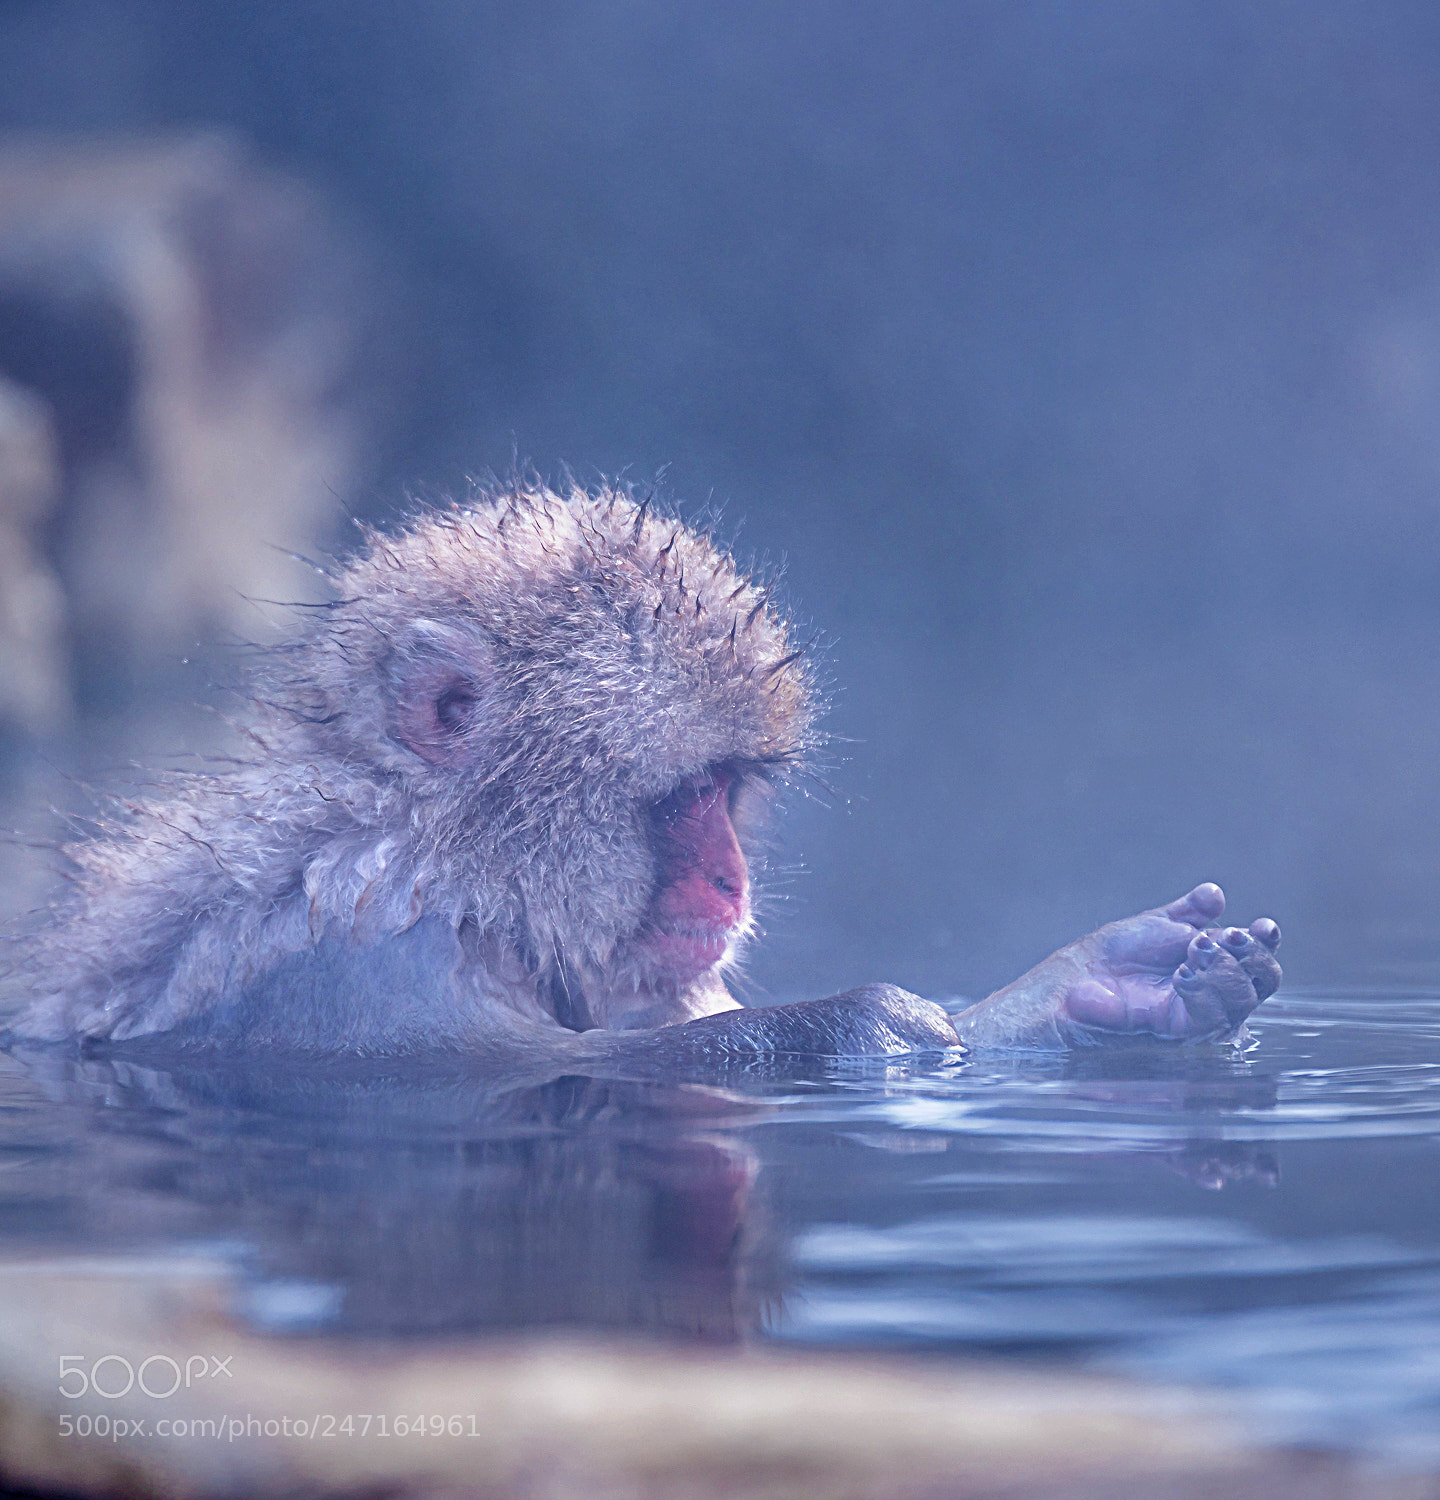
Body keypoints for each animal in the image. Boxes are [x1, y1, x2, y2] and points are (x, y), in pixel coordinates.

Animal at [1, 481, 1281, 1069]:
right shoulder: (364, 954)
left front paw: (1106, 991)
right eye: (678, 797)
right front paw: (917, 1014)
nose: (730, 884)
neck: (446, 864)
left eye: (732, 791)